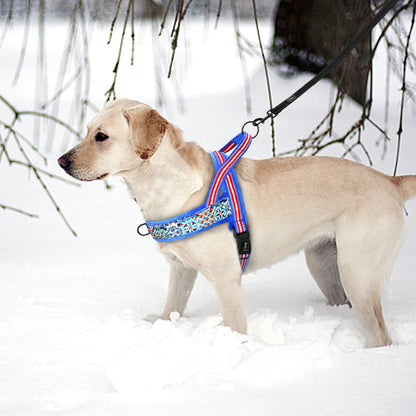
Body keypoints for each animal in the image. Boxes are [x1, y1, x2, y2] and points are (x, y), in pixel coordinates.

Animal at [58, 98, 416, 348]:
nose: (61, 161)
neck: (168, 189)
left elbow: (234, 325)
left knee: (380, 336)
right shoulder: (181, 270)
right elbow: (172, 309)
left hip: (357, 272)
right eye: (87, 132)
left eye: (101, 137)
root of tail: (391, 181)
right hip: (324, 265)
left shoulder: (226, 277)